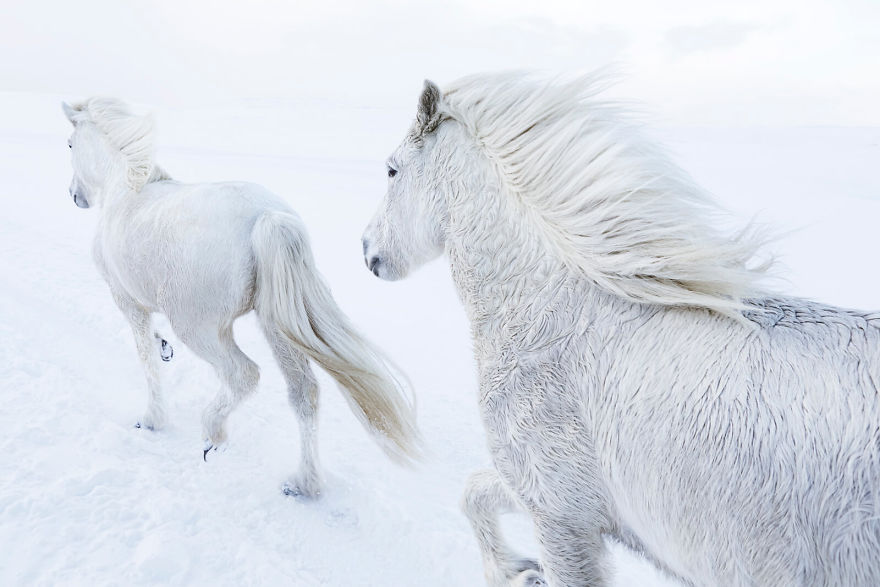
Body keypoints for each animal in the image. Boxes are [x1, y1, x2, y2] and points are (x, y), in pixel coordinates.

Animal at [62, 97, 420, 496]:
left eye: (70, 144)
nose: (75, 196)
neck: (125, 190)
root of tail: (269, 218)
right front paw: (164, 346)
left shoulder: (127, 300)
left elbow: (145, 359)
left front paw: (152, 419)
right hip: (278, 326)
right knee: (304, 393)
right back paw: (304, 483)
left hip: (200, 328)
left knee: (243, 374)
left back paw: (212, 434)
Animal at [360, 73, 880, 587]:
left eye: (391, 170)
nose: (367, 250)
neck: (551, 319)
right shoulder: (561, 503)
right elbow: (475, 491)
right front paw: (513, 570)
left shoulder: (561, 514)